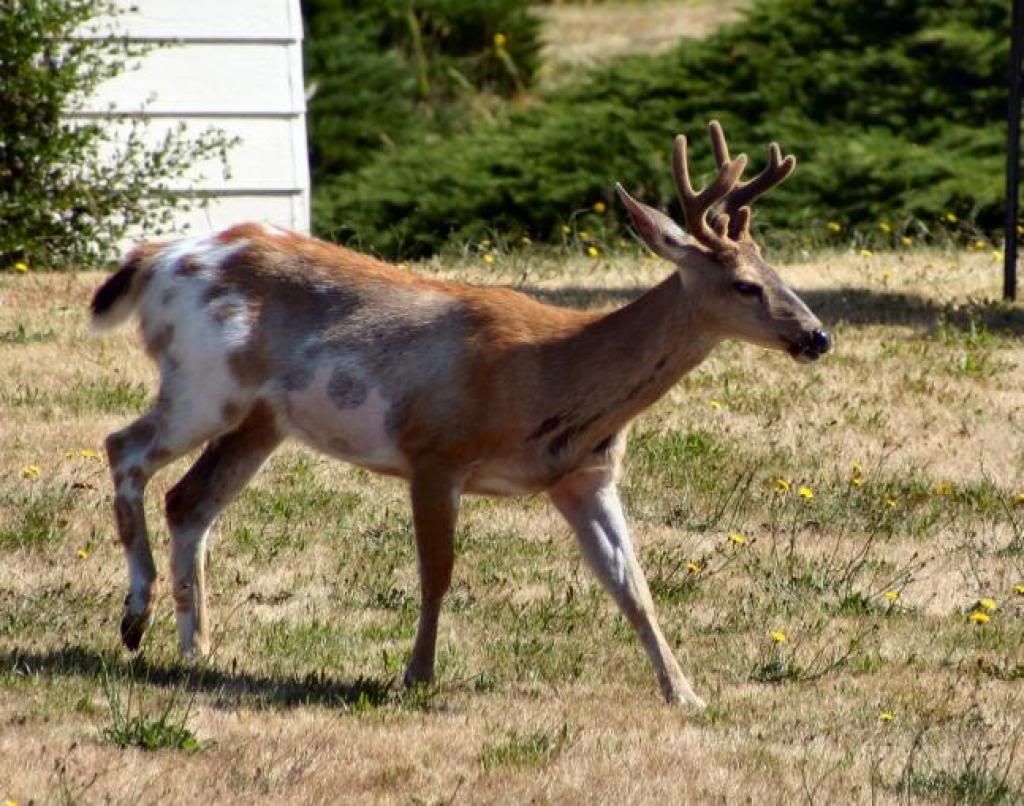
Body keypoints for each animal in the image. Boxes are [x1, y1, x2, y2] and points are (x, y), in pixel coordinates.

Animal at [89, 121, 829, 708]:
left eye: (779, 271)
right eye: (746, 285)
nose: (818, 336)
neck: (551, 372)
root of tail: (154, 259)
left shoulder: (582, 476)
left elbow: (632, 586)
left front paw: (685, 693)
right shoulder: (435, 450)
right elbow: (438, 572)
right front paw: (416, 675)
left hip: (260, 417)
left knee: (189, 501)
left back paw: (196, 649)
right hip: (205, 382)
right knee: (124, 447)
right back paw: (135, 616)